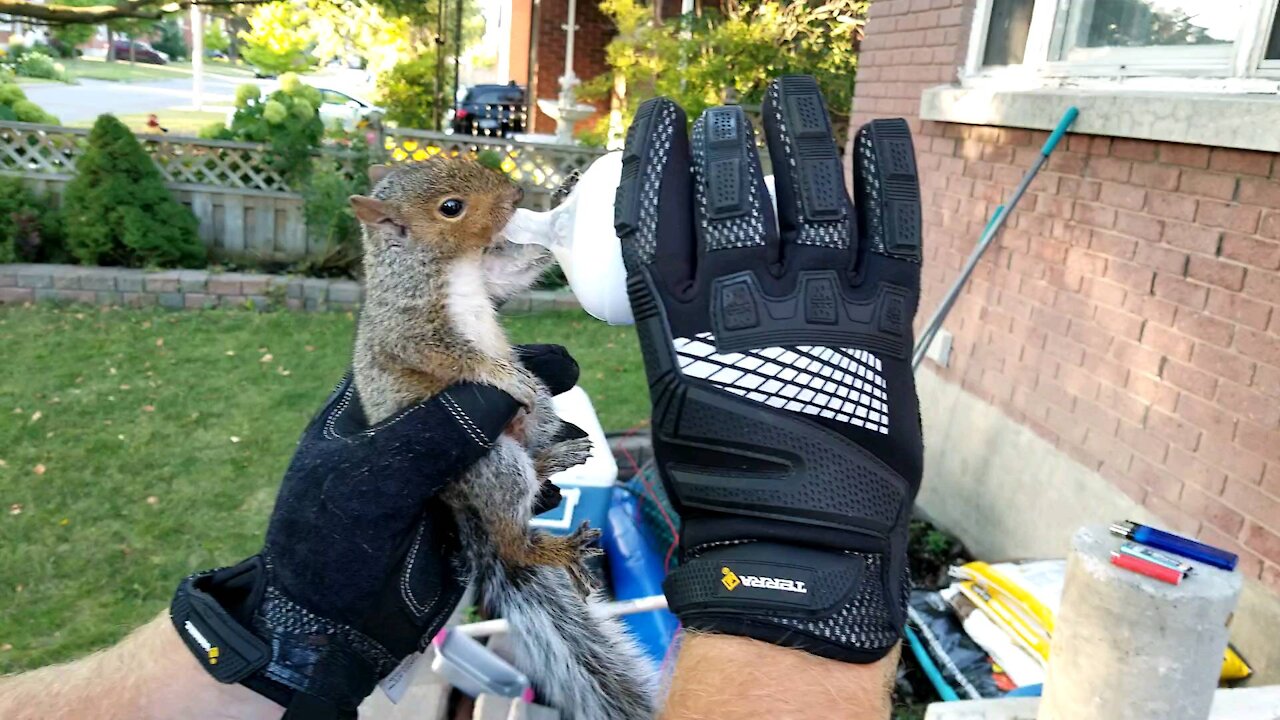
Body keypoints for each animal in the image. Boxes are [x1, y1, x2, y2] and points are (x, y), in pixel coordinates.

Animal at [348, 158, 650, 717]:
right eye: (450, 207)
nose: (516, 194)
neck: (454, 266)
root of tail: (457, 500)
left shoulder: (491, 277)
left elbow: (517, 270)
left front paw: (563, 192)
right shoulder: (411, 328)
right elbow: (454, 357)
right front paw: (503, 375)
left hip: (540, 418)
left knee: (533, 454)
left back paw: (554, 457)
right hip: (489, 466)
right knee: (513, 538)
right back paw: (549, 548)